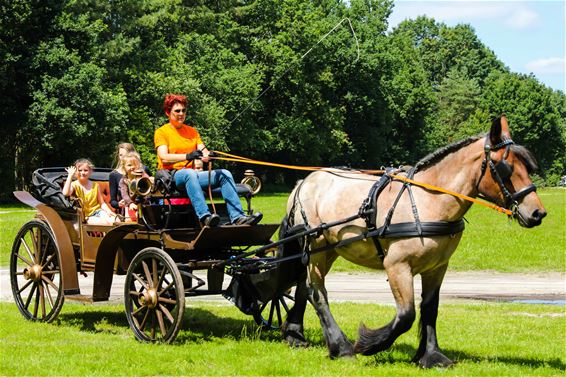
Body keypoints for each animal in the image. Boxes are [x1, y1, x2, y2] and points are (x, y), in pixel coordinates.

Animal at [282, 115, 548, 368]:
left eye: (527, 166)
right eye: (505, 168)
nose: (538, 213)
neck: (428, 201)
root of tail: (304, 183)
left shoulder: (437, 268)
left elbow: (430, 309)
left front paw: (431, 356)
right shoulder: (397, 265)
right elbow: (406, 315)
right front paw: (369, 343)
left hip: (330, 250)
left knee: (304, 286)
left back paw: (296, 334)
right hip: (315, 246)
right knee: (316, 291)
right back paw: (341, 347)